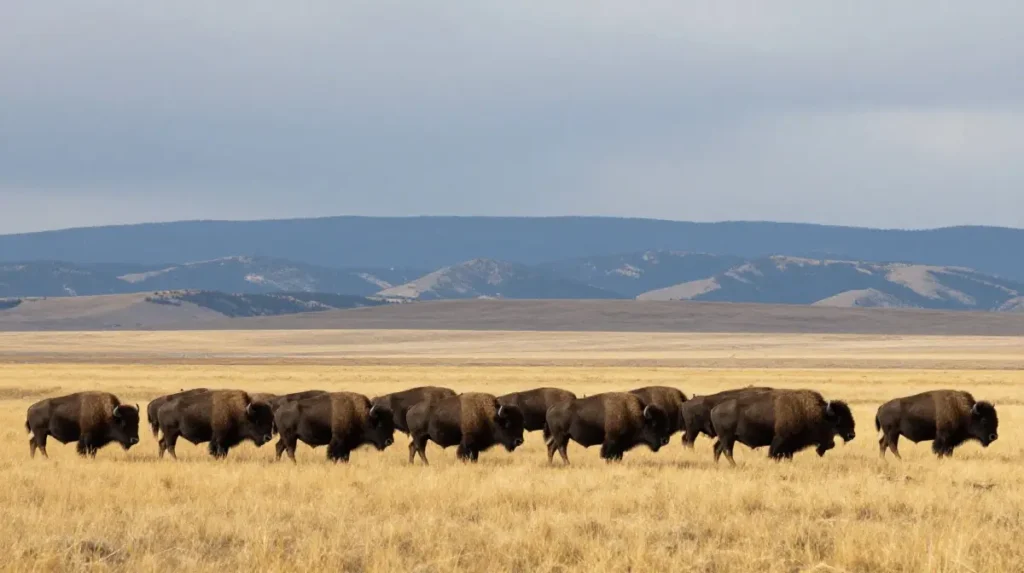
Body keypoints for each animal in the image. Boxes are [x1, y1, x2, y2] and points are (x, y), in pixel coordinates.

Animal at [711, 389, 855, 465]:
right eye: (838, 421)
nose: (851, 435)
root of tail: (714, 409)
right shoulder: (780, 441)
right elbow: (773, 454)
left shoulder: (790, 446)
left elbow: (788, 456)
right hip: (728, 438)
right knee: (727, 451)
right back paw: (734, 466)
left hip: (726, 438)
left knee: (718, 449)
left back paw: (718, 465)